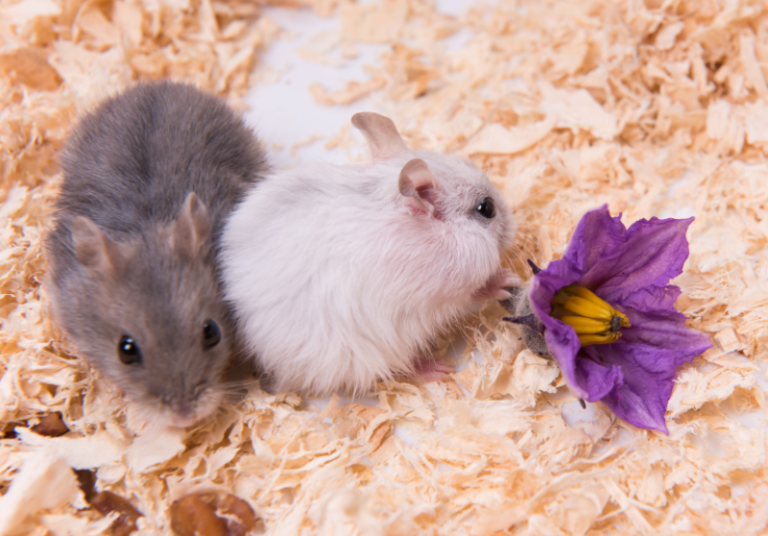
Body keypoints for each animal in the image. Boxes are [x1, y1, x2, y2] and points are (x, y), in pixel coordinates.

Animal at [220, 112, 517, 396]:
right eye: (486, 208)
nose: (515, 227)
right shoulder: (444, 295)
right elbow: (476, 292)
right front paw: (506, 281)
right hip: (367, 354)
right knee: (393, 370)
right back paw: (437, 369)